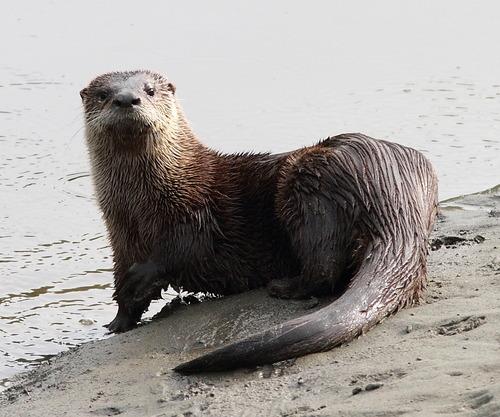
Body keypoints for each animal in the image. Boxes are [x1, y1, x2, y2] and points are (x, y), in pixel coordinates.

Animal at [81, 70, 438, 372]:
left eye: (149, 90)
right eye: (103, 94)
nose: (127, 99)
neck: (142, 206)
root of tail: (393, 191)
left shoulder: (193, 212)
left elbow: (181, 251)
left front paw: (139, 280)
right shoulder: (119, 236)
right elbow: (121, 281)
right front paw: (117, 322)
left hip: (309, 184)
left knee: (324, 266)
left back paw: (285, 287)